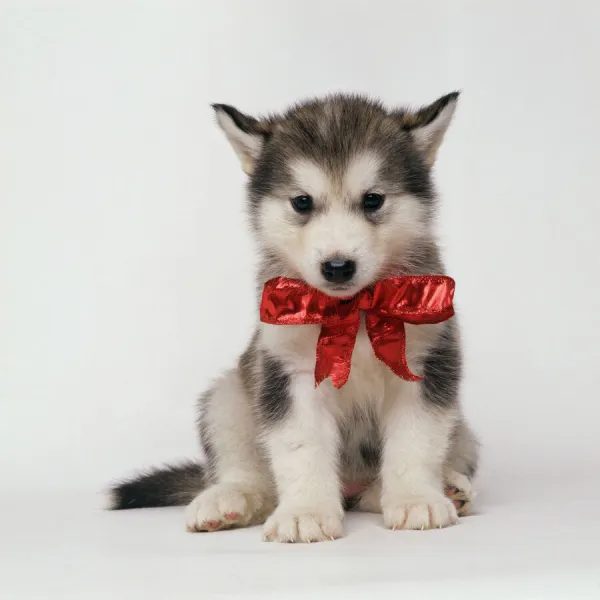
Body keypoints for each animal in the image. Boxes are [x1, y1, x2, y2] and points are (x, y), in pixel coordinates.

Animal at [111, 92, 478, 544]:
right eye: (302, 202)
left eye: (373, 200)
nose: (337, 267)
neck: (351, 312)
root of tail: (351, 487)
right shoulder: (288, 371)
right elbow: (299, 447)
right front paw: (305, 512)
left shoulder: (425, 365)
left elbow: (416, 440)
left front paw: (414, 499)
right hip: (228, 397)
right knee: (247, 472)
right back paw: (228, 499)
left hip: (464, 430)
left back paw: (441, 487)